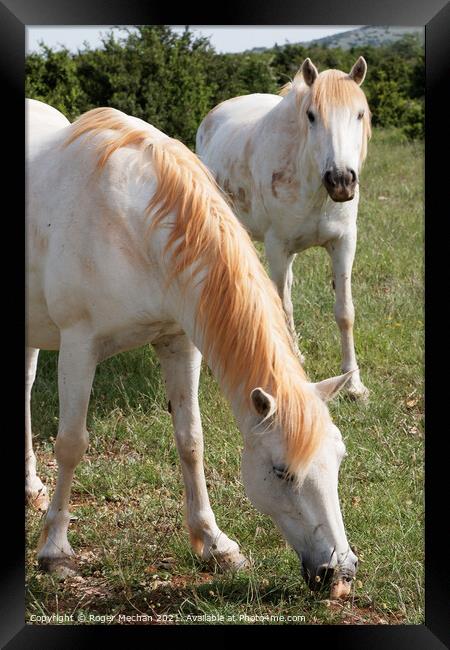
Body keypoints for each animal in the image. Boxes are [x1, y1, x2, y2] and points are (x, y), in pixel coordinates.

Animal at [27, 98, 358, 596]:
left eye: (338, 459)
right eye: (282, 471)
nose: (338, 572)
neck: (133, 224)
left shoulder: (179, 341)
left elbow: (191, 441)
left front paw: (215, 544)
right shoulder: (78, 346)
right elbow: (70, 444)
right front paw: (55, 552)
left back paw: (30, 486)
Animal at [197, 57, 372, 400]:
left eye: (359, 114)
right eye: (311, 116)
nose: (341, 180)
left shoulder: (344, 242)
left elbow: (345, 312)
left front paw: (355, 384)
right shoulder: (277, 247)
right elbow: (282, 306)